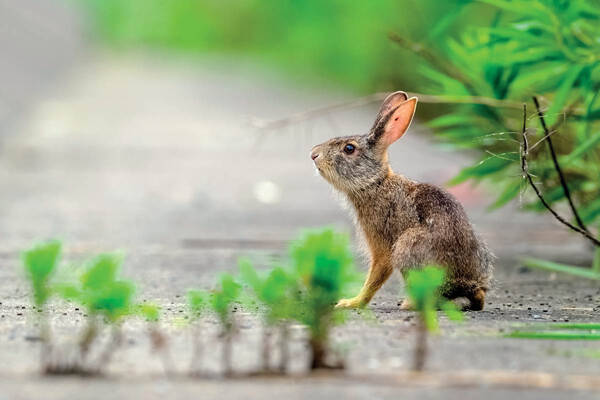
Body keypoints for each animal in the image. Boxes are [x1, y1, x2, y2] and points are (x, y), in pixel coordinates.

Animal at [310, 91, 492, 312]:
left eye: (349, 148)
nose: (313, 155)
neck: (375, 183)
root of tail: (466, 286)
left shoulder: (382, 244)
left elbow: (376, 274)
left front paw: (351, 302)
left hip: (407, 246)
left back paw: (409, 304)